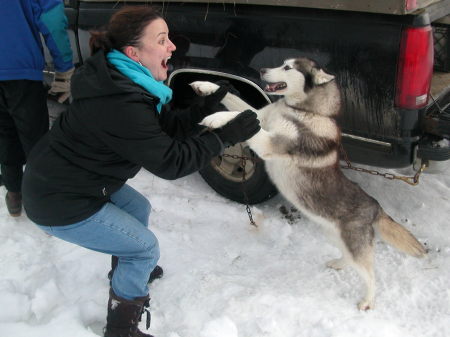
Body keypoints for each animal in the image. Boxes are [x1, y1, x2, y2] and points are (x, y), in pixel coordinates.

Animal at [189, 56, 426, 308]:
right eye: (281, 63)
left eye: (288, 67)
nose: (262, 69)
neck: (299, 110)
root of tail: (375, 206)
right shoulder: (260, 117)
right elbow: (238, 105)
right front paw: (207, 86)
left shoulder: (270, 142)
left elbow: (239, 119)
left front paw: (216, 118)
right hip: (333, 234)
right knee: (350, 260)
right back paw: (338, 264)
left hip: (354, 244)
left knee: (370, 274)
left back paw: (367, 301)